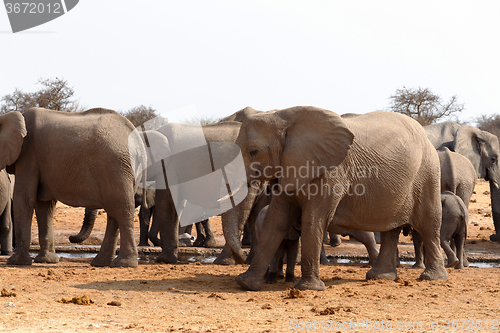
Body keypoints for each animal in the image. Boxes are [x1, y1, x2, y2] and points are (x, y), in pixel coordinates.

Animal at [0, 108, 146, 268]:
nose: (70, 238)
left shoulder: (28, 154)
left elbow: (24, 198)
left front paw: (16, 262)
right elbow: (45, 205)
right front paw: (47, 260)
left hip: (116, 165)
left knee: (121, 209)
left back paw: (124, 263)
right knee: (114, 212)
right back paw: (101, 263)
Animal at [232, 107, 448, 290]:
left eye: (253, 152)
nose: (243, 256)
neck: (283, 117)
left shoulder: (331, 172)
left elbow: (313, 220)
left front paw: (308, 289)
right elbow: (275, 220)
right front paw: (246, 284)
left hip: (428, 172)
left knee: (429, 224)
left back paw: (432, 278)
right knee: (390, 228)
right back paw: (379, 276)